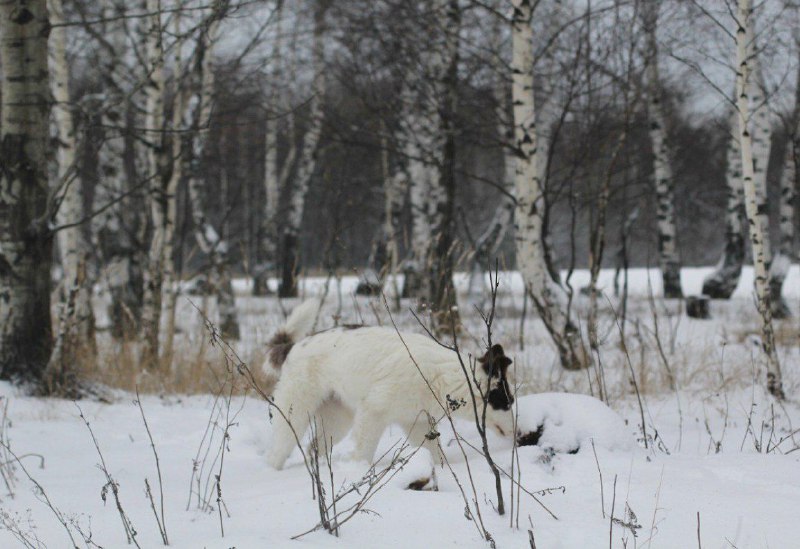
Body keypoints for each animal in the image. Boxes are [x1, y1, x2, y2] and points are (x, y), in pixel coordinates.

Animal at [262, 300, 512, 476]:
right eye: (507, 403)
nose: (519, 435)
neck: (441, 376)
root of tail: (293, 347)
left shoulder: (417, 423)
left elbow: (435, 453)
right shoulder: (373, 412)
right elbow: (363, 451)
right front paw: (360, 472)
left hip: (338, 419)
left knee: (314, 447)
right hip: (295, 411)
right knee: (278, 450)